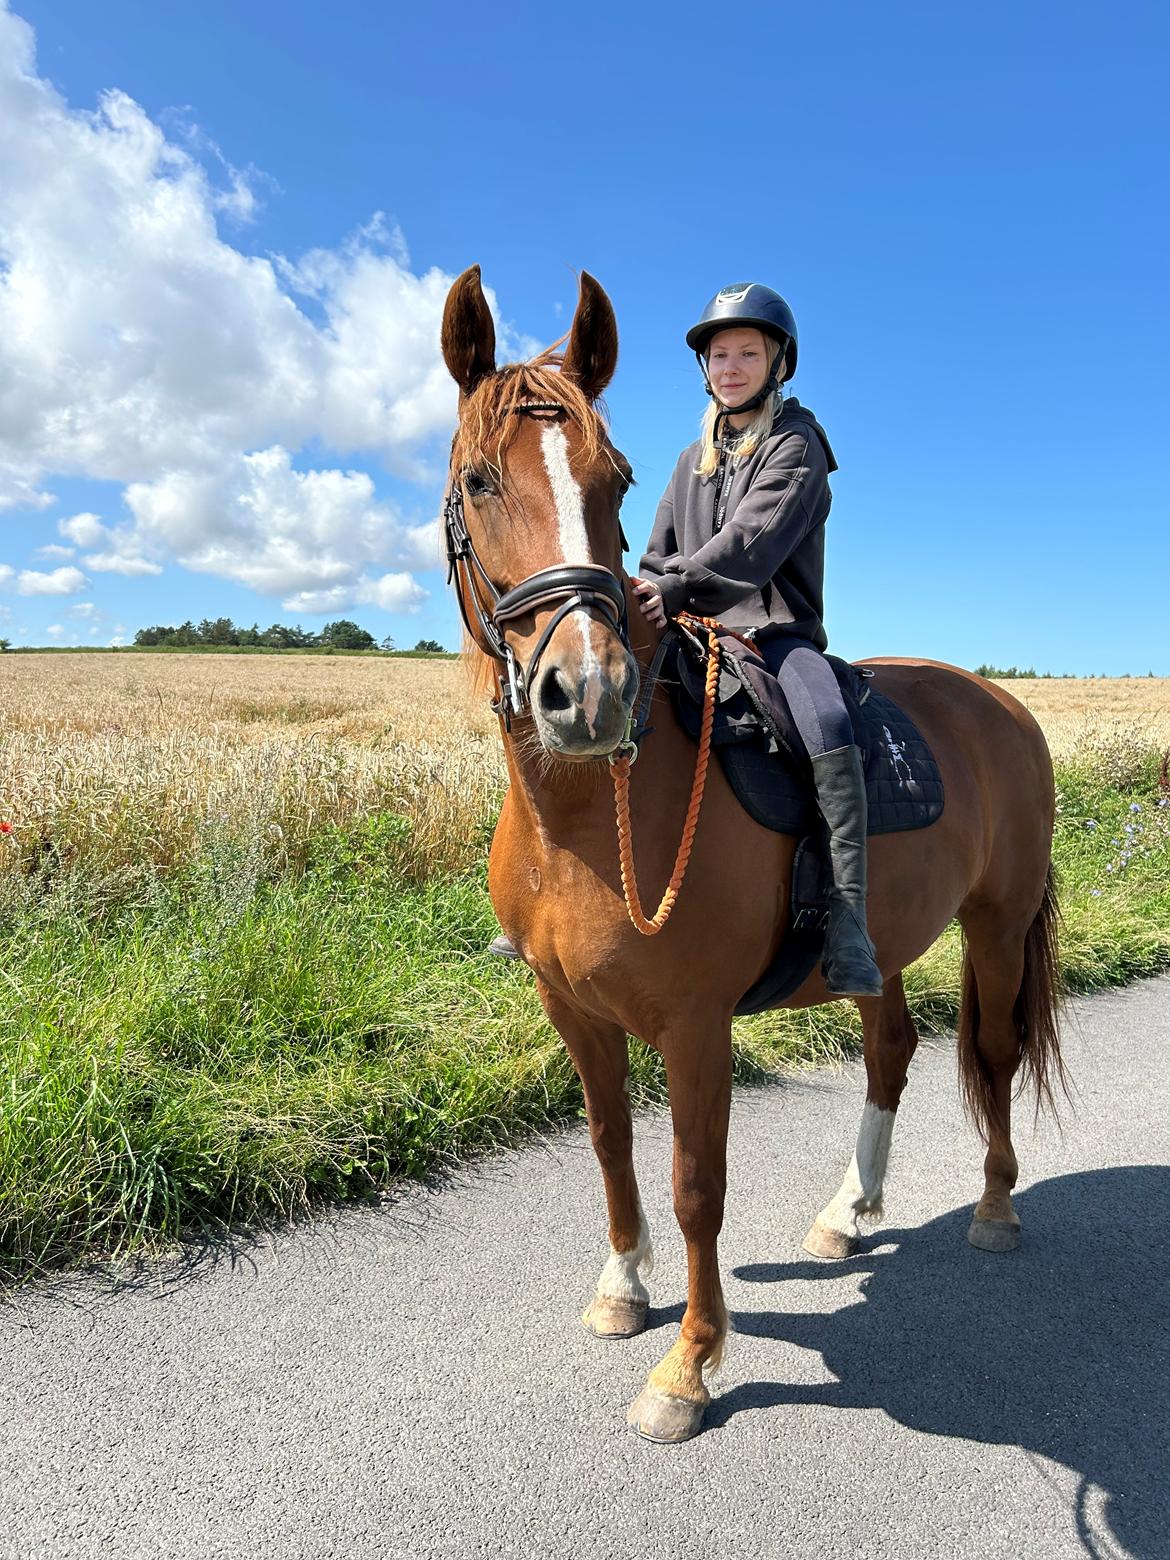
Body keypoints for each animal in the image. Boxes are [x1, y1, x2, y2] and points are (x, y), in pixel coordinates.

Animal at [439, 265, 1060, 1435]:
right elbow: (611, 1145)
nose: (587, 695)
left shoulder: (694, 1028)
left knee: (994, 1055)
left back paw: (996, 1211)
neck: (585, 819)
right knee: (891, 1048)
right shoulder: (571, 1010)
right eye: (481, 479)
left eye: (615, 478)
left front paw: (687, 1364)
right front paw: (622, 1288)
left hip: (997, 926)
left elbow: (696, 1185)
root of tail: (1001, 704)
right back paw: (849, 1213)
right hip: (879, 948)